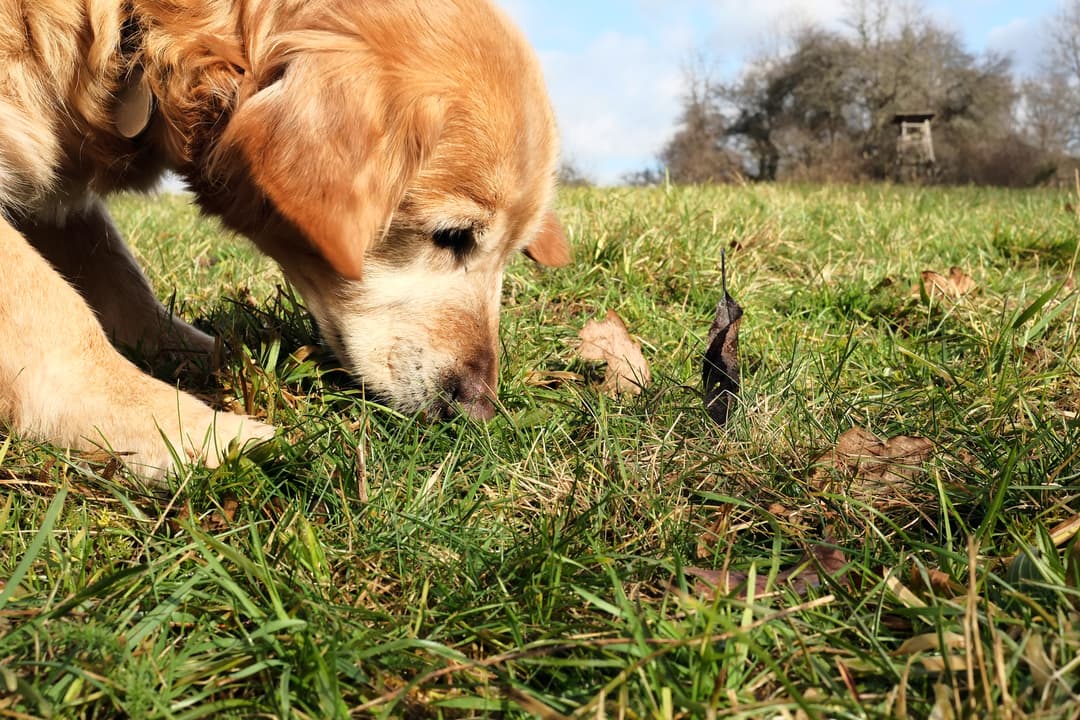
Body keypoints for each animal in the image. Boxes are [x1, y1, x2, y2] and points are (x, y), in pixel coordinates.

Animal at [0, 0, 570, 479]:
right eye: (453, 236)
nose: (479, 410)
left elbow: (125, 286)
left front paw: (208, 359)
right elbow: (52, 310)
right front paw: (186, 430)